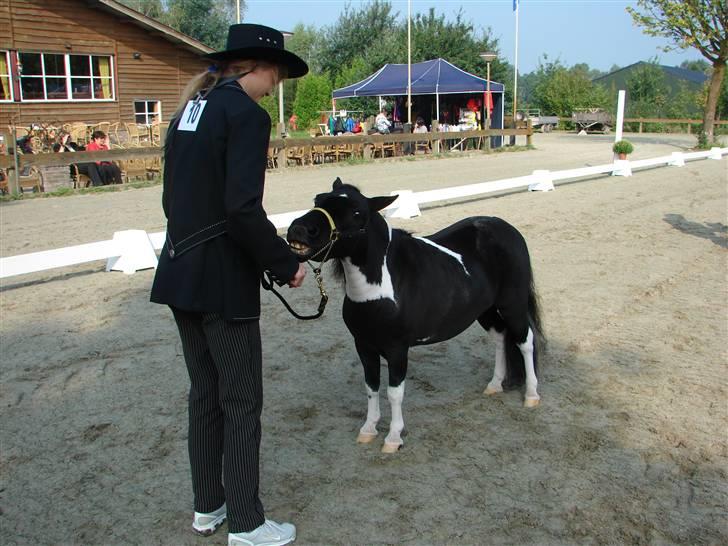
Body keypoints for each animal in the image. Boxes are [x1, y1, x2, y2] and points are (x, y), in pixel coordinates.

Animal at [288, 177, 544, 450]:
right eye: (318, 199)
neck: (382, 289)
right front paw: (368, 430)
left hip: (512, 305)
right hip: (485, 310)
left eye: (356, 213)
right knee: (500, 338)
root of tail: (506, 229)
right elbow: (371, 387)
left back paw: (531, 395)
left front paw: (393, 438)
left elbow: (394, 393)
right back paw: (494, 385)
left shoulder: (397, 349)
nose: (298, 230)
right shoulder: (364, 346)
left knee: (525, 342)